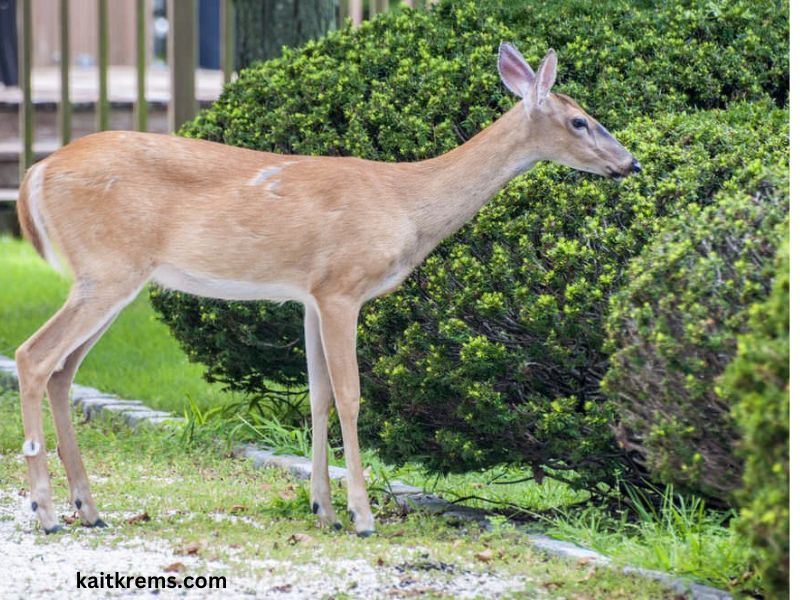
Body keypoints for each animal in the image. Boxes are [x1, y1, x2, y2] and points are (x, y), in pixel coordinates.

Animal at [14, 44, 636, 536]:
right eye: (580, 122)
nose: (629, 163)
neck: (406, 203)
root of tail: (34, 175)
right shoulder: (343, 286)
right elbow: (352, 396)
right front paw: (362, 516)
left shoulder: (309, 295)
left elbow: (317, 396)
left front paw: (324, 510)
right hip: (109, 268)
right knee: (32, 356)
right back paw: (46, 512)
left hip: (110, 277)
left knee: (62, 371)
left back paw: (89, 509)